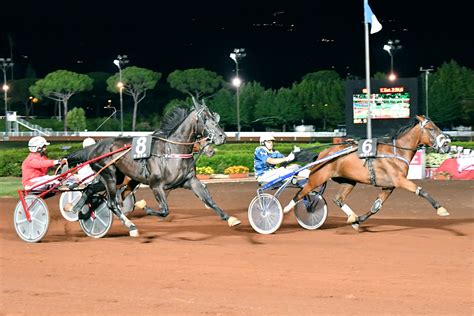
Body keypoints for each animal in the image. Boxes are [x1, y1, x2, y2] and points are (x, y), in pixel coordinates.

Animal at [67, 99, 241, 237]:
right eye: (205, 118)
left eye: (214, 116)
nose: (222, 137)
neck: (171, 151)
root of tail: (96, 146)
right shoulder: (156, 185)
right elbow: (164, 210)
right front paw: (144, 207)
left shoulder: (190, 181)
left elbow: (209, 200)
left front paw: (231, 219)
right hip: (109, 175)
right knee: (111, 203)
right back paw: (131, 226)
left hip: (117, 177)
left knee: (89, 189)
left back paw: (75, 209)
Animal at [284, 116, 450, 230]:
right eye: (431, 129)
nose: (447, 145)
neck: (396, 152)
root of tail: (323, 154)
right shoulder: (399, 180)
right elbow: (422, 191)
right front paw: (441, 209)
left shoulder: (388, 186)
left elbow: (375, 207)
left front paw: (356, 220)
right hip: (317, 178)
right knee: (300, 194)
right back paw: (284, 210)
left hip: (348, 181)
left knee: (338, 199)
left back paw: (350, 215)